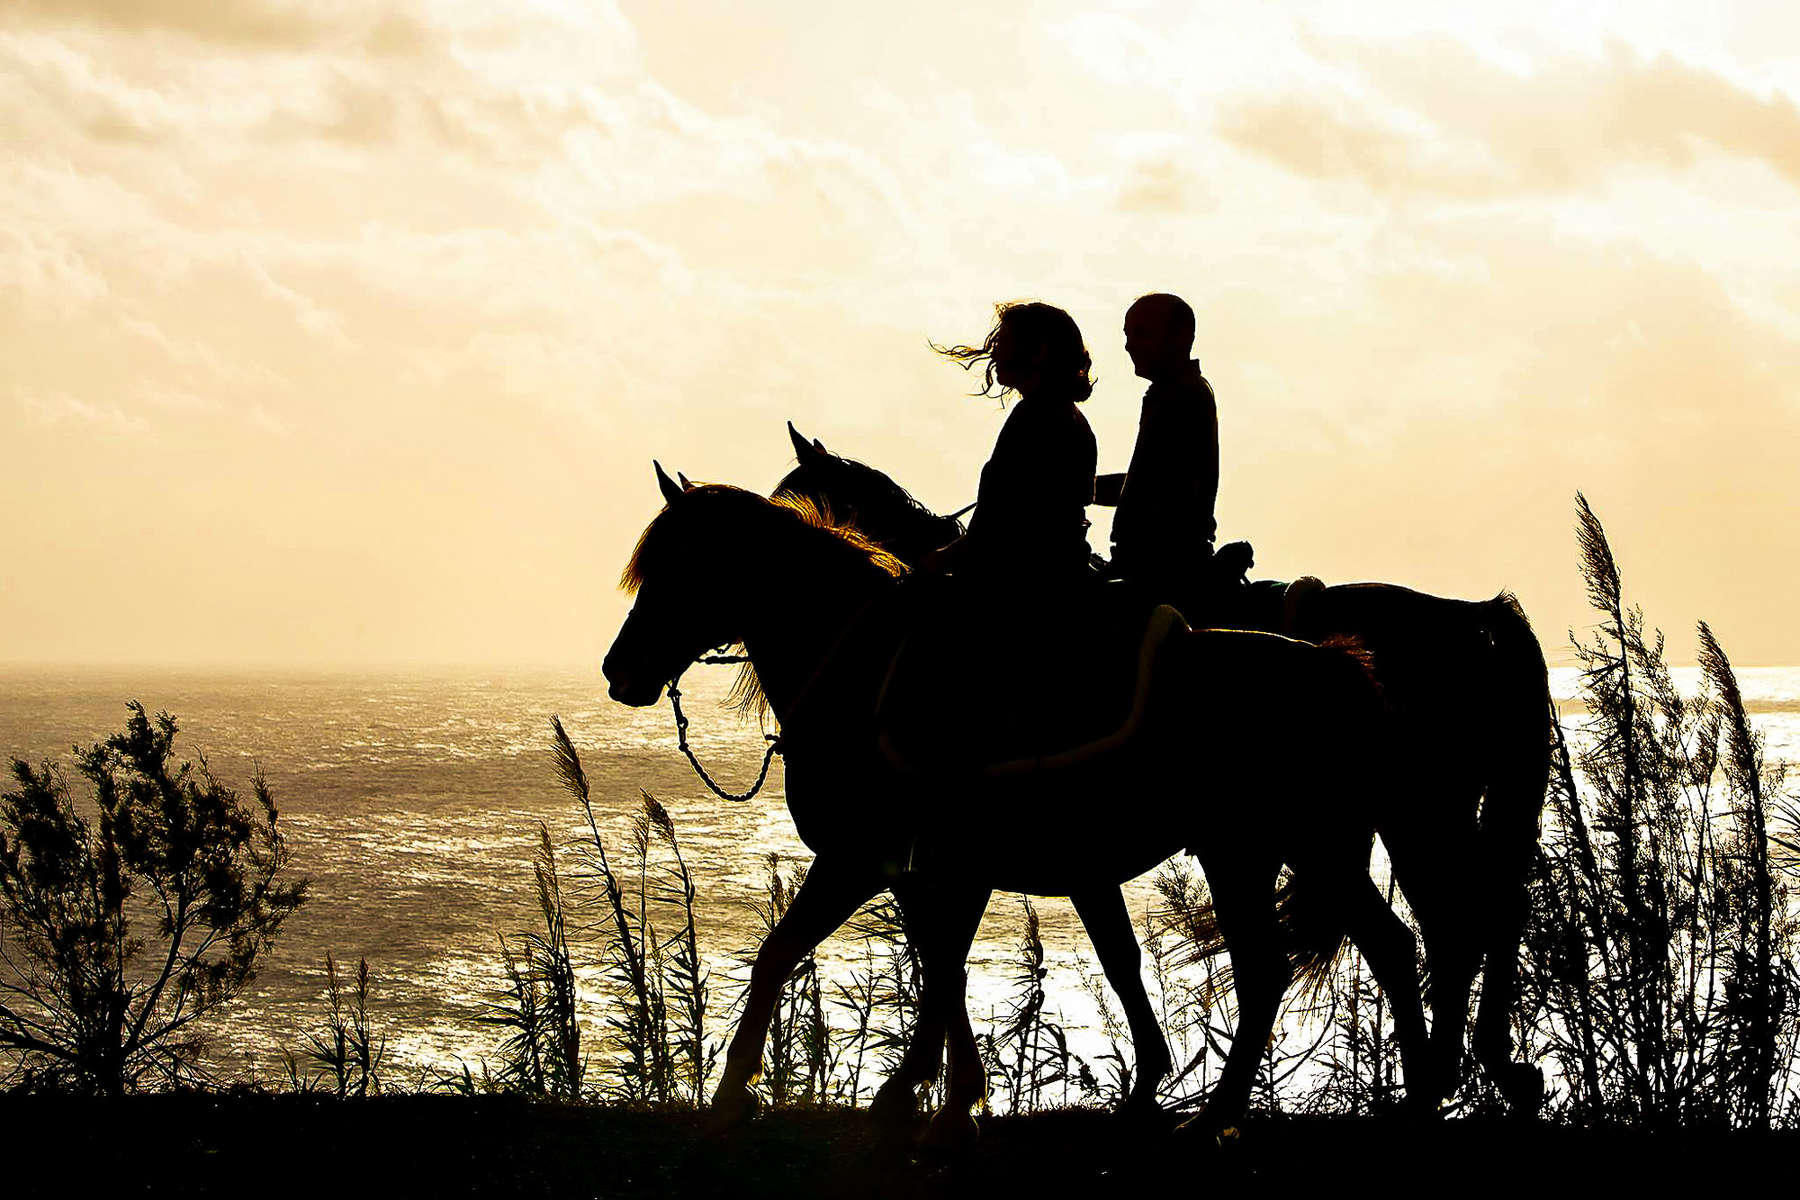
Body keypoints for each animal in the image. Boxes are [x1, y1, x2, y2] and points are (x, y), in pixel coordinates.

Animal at [604, 467, 1432, 1137]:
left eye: (683, 564)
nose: (619, 669)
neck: (864, 675)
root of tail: (1334, 665)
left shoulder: (864, 859)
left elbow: (799, 954)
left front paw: (744, 1091)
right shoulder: (922, 871)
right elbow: (942, 965)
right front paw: (949, 1092)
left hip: (1291, 849)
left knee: (1323, 959)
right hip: (1266, 853)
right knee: (1332, 958)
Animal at [781, 420, 1555, 1108]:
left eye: (791, 495)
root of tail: (1473, 618)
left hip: (1417, 810)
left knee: (1460, 917)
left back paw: (1463, 1068)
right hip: (1421, 812)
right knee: (1474, 913)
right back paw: (1476, 1068)